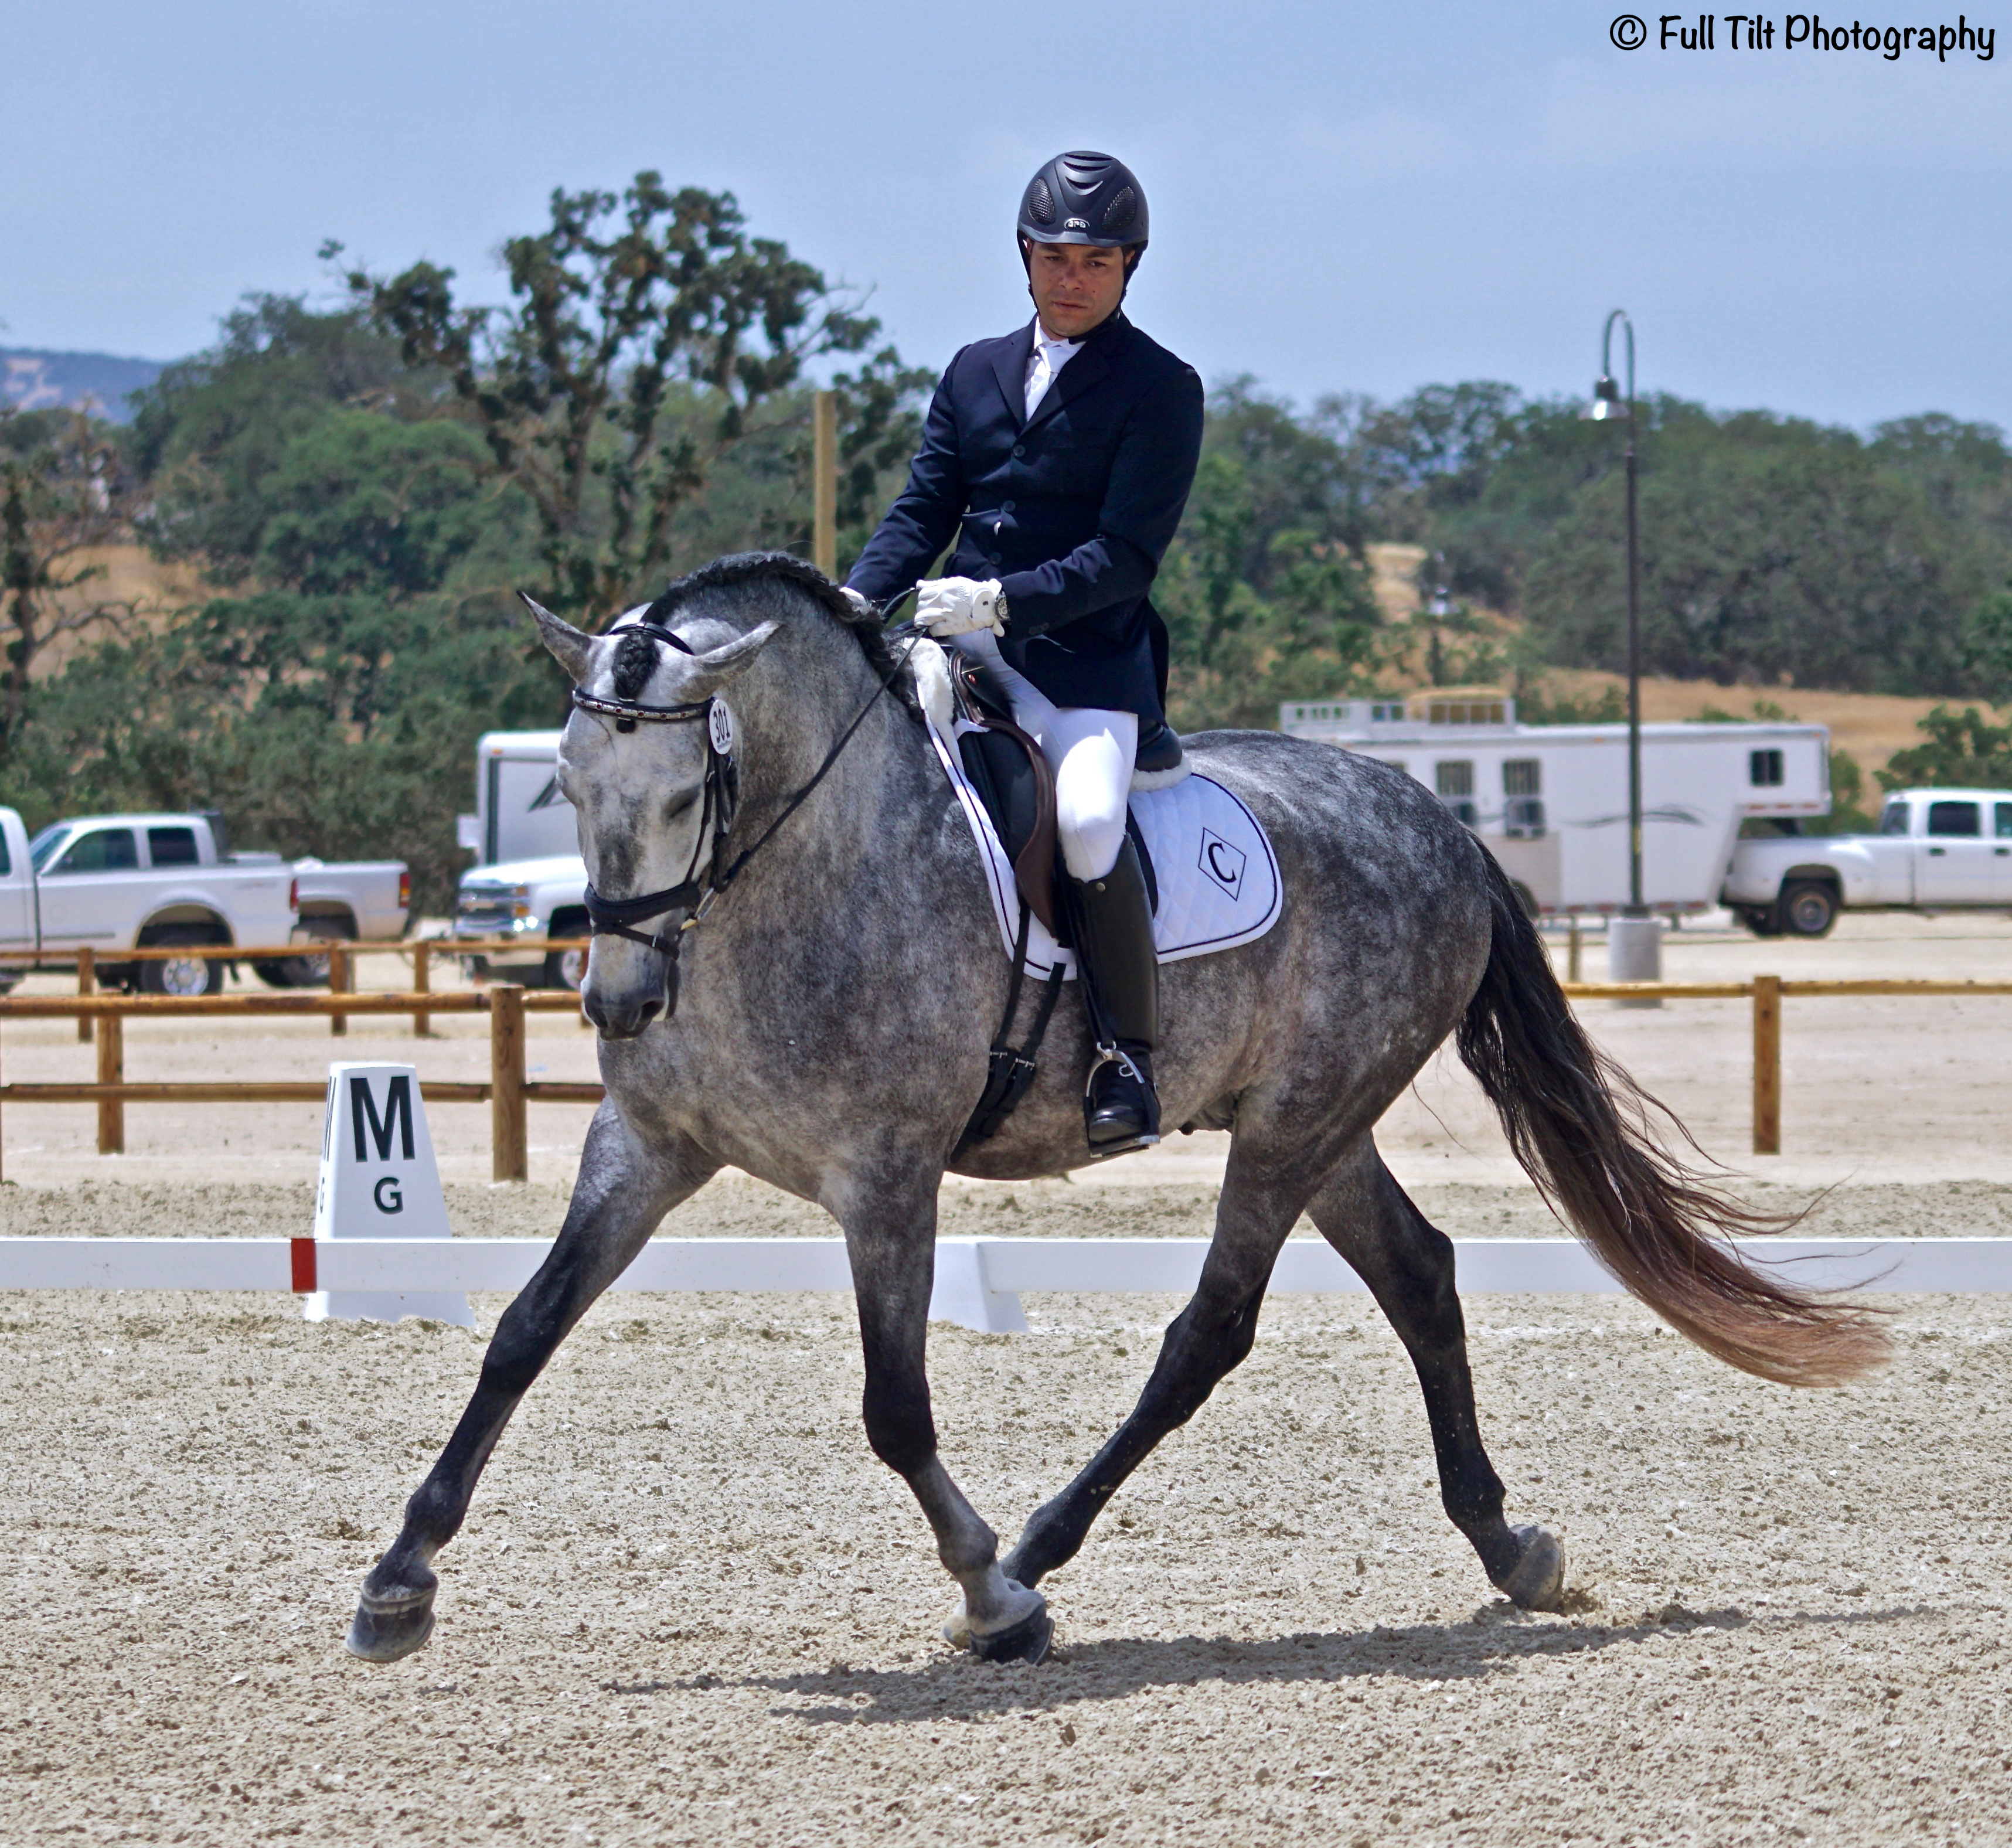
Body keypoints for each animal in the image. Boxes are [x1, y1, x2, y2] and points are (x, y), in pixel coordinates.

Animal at [350, 555, 1883, 1675]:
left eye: (685, 789)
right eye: (566, 780)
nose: (617, 1001)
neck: (791, 874)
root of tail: (1436, 820)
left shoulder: (885, 1175)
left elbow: (894, 1406)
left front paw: (990, 1593)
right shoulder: (648, 1149)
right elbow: (520, 1332)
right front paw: (397, 1581)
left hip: (1291, 1130)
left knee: (1210, 1332)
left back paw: (1038, 1550)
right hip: (1317, 1124)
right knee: (1420, 1276)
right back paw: (1508, 1546)